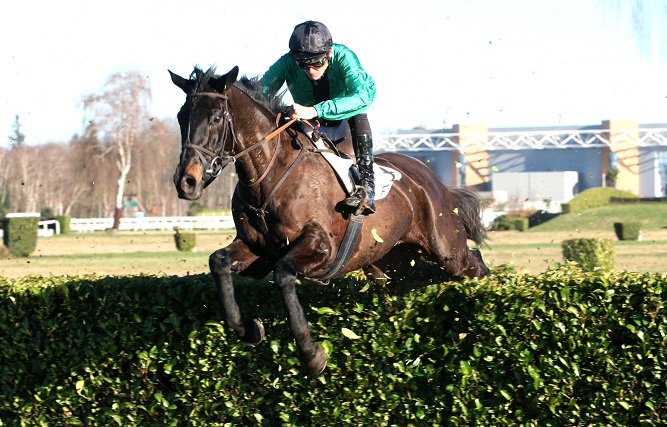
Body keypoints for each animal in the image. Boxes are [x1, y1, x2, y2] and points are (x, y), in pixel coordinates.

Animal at [170, 64, 488, 374]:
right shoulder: (256, 248)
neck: (270, 174)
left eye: (215, 117)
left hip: (447, 249)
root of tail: (432, 179)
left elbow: (284, 274)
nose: (186, 181)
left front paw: (312, 354)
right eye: (181, 117)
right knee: (416, 278)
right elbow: (218, 262)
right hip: (392, 261)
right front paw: (248, 329)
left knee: (473, 262)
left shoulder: (322, 248)